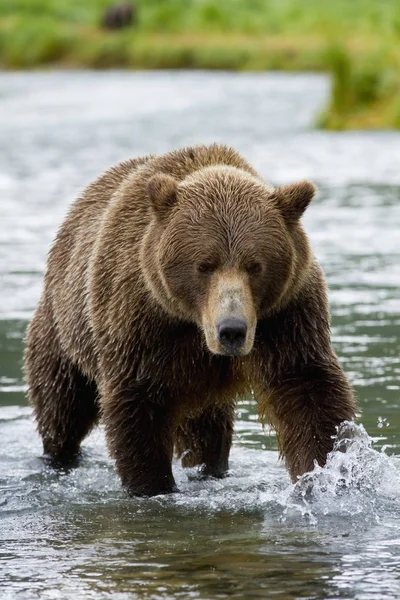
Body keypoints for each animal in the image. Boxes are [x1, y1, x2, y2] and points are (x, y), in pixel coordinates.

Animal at [24, 143, 356, 494]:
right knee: (61, 405)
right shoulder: (141, 323)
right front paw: (151, 484)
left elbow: (306, 389)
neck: (194, 324)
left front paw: (328, 472)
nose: (232, 330)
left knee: (206, 433)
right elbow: (137, 406)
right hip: (63, 327)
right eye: (204, 265)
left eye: (255, 265)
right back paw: (57, 456)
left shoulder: (287, 315)